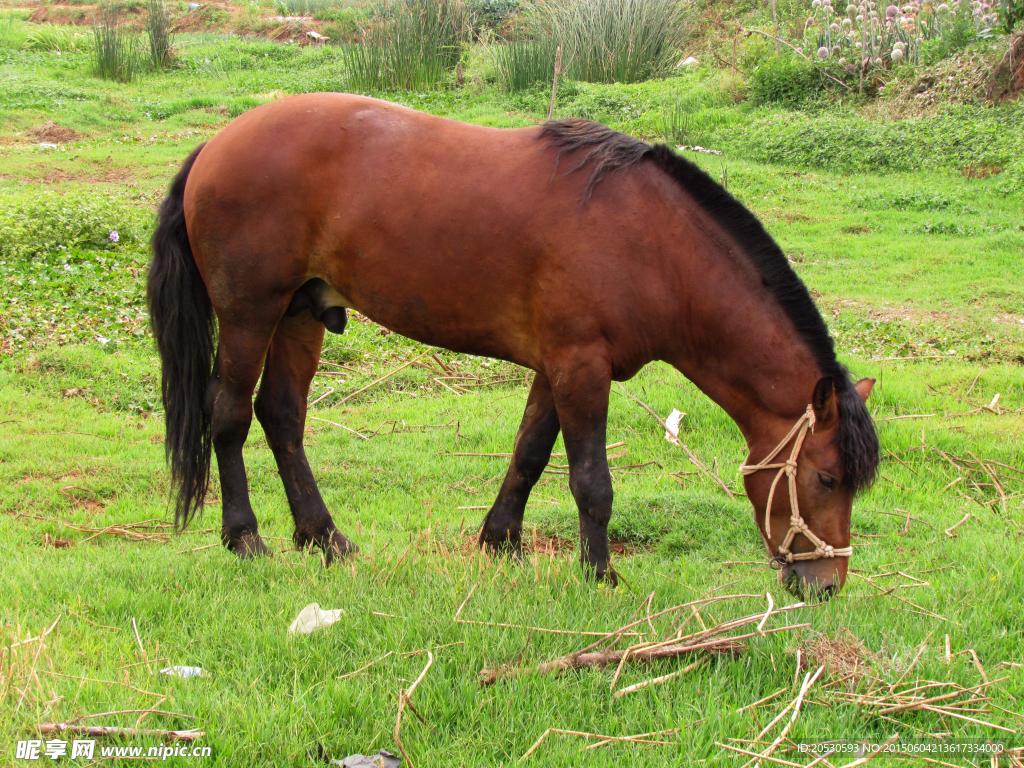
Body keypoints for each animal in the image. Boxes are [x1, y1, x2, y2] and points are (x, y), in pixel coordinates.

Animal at [149, 93, 880, 602]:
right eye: (825, 478)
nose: (827, 586)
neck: (651, 242)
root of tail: (216, 143)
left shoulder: (559, 368)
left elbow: (529, 454)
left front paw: (500, 541)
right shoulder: (581, 366)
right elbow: (591, 481)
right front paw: (599, 574)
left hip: (300, 313)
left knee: (282, 416)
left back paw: (325, 538)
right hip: (250, 314)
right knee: (229, 415)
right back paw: (246, 537)